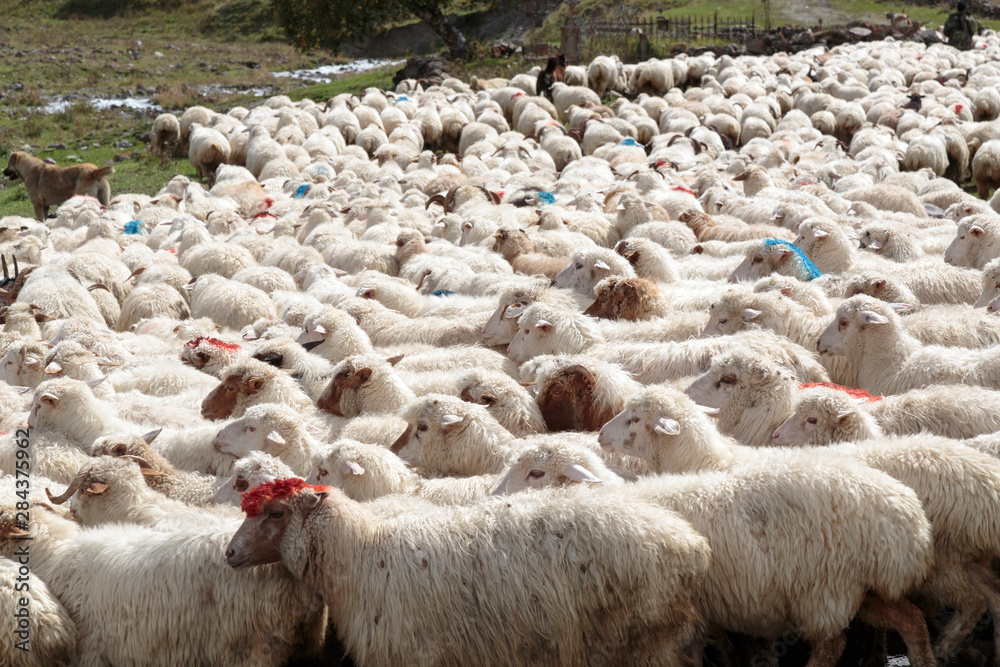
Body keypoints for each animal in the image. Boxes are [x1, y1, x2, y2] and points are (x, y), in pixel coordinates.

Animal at [224, 477, 711, 667]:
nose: (229, 553)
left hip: (642, 640)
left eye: (276, 512)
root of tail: (690, 543)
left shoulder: (412, 652)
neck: (362, 556)